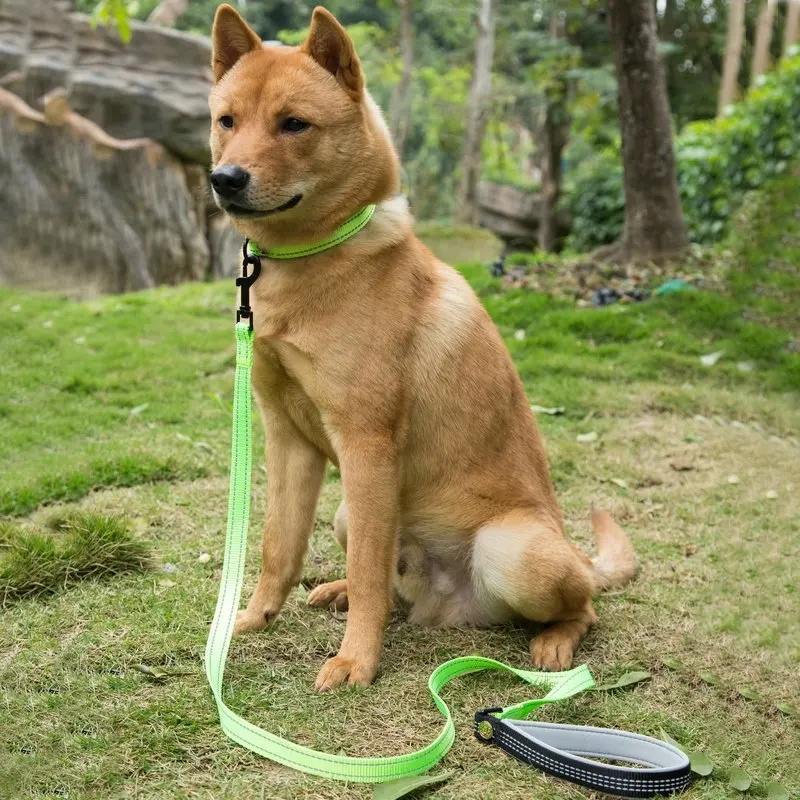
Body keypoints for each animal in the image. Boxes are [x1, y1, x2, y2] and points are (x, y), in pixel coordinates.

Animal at [209, 4, 636, 692]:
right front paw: (249, 619)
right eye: (228, 121)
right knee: (385, 582)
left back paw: (554, 643)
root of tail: (450, 605)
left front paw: (356, 660)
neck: (313, 261)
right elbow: (279, 545)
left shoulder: (366, 445)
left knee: (584, 607)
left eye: (294, 124)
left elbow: (365, 568)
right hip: (348, 511)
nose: (225, 179)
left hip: (512, 553)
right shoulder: (287, 438)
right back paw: (339, 592)